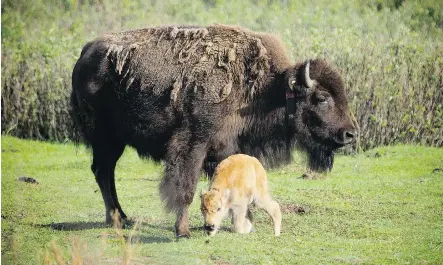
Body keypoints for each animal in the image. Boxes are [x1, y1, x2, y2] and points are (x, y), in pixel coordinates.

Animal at [72, 23, 358, 236]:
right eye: (321, 97)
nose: (350, 134)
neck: (265, 90)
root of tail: (84, 53)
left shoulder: (228, 150)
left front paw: (242, 222)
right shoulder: (193, 144)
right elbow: (185, 187)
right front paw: (183, 231)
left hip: (113, 142)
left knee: (105, 172)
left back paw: (122, 217)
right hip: (105, 139)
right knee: (103, 172)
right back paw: (117, 219)